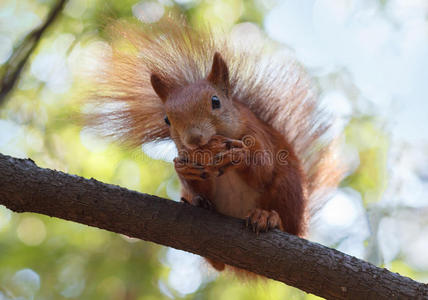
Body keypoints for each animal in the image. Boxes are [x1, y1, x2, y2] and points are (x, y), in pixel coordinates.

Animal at [85, 15, 342, 270]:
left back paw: (268, 216)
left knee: (285, 219)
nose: (193, 139)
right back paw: (200, 206)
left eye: (215, 102)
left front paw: (238, 156)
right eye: (167, 119)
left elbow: (263, 168)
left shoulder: (257, 135)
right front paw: (185, 169)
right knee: (217, 263)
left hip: (287, 190)